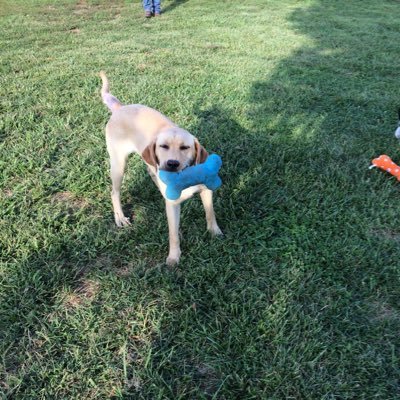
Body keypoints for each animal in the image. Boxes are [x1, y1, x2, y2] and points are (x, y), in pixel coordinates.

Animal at [99, 72, 222, 266]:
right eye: (163, 146)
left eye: (185, 147)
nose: (171, 163)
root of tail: (120, 108)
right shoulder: (172, 206)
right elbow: (173, 234)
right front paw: (174, 256)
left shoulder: (206, 190)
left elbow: (210, 213)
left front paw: (215, 232)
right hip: (118, 164)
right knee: (114, 192)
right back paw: (120, 217)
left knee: (151, 173)